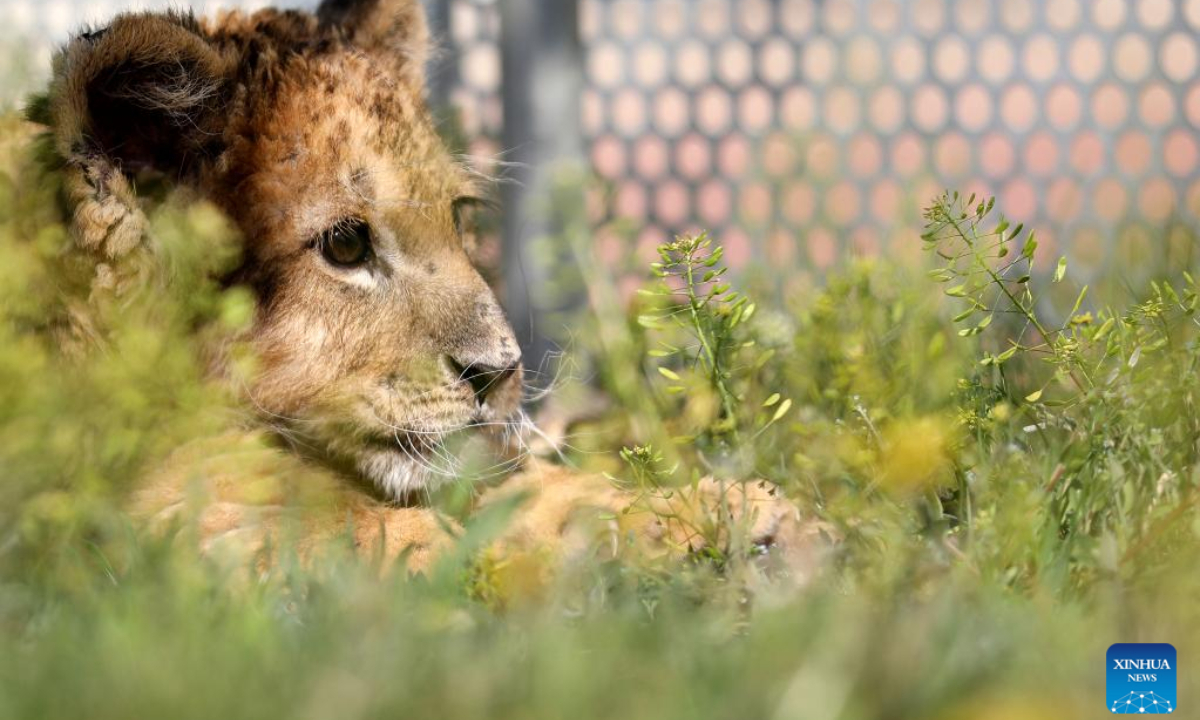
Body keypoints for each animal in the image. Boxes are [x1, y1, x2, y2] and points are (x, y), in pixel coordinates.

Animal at [35, 0, 822, 580]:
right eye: (345, 246)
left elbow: (529, 492)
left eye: (457, 218)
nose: (500, 373)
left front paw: (736, 513)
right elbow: (337, 527)